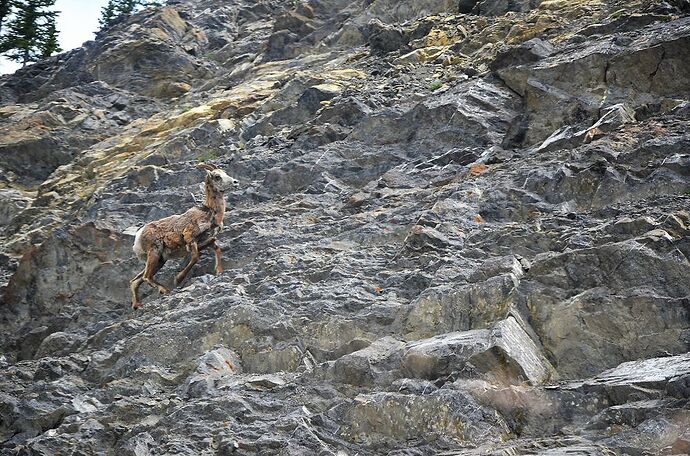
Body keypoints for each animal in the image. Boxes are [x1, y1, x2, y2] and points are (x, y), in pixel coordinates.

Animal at [130, 162, 239, 308]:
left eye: (225, 173)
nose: (235, 182)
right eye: (217, 176)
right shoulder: (190, 239)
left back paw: (137, 305)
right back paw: (165, 290)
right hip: (154, 253)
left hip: (160, 260)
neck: (209, 213)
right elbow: (195, 257)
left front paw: (219, 270)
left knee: (136, 280)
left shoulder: (203, 241)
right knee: (146, 276)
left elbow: (215, 246)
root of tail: (139, 235)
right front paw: (178, 279)